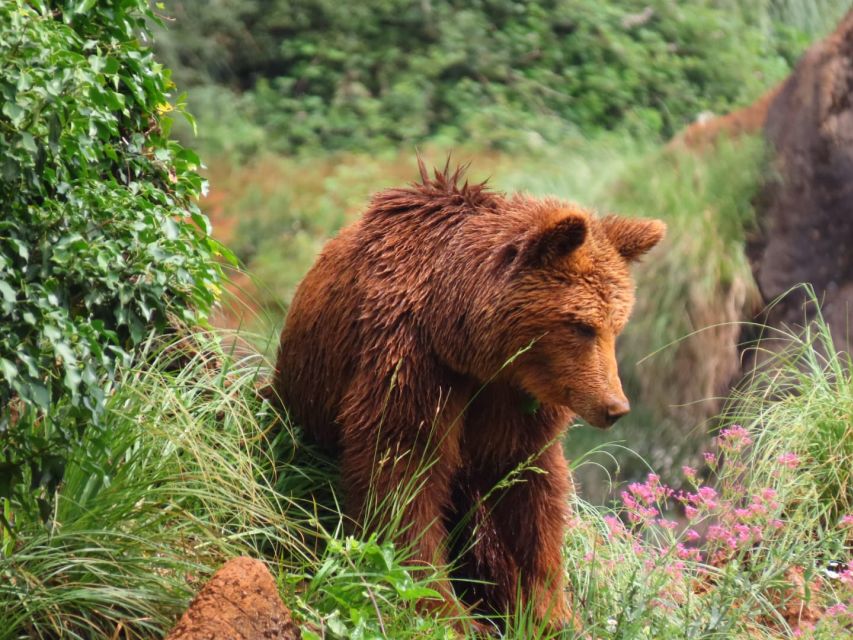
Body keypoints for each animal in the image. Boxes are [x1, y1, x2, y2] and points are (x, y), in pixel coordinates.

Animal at [272, 159, 664, 624]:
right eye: (582, 326)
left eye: (615, 327)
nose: (614, 407)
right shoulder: (412, 364)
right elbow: (404, 474)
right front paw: (443, 607)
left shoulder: (515, 400)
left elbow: (531, 492)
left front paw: (549, 611)